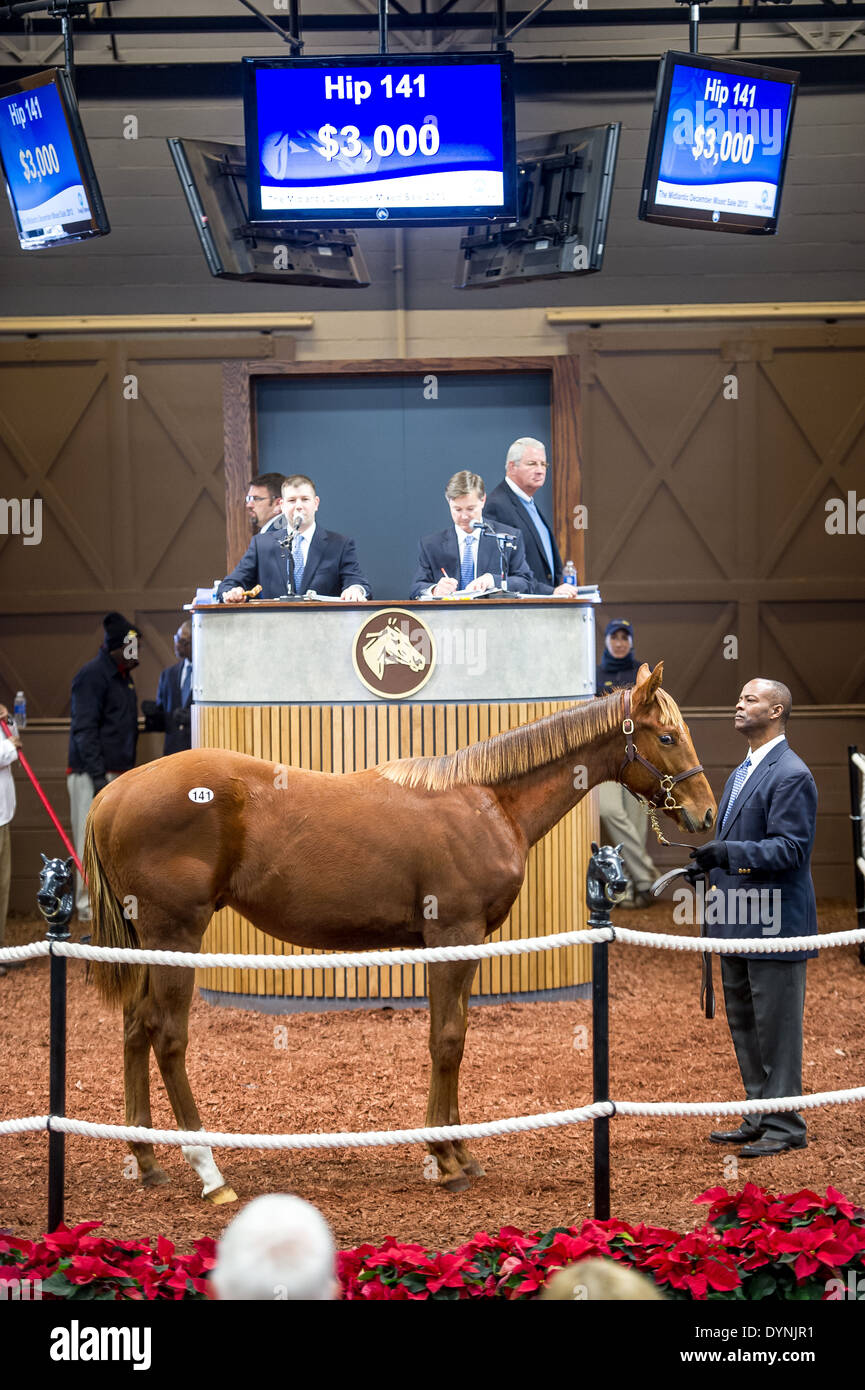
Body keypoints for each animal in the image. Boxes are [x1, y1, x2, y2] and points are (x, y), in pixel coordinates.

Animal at [84, 658, 717, 1195]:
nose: (706, 812)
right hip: (176, 938)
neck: (489, 801)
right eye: (666, 737)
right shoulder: (453, 935)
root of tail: (111, 794)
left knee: (135, 1028)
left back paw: (146, 1159)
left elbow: (455, 1034)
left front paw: (461, 1151)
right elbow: (446, 1040)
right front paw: (445, 1158)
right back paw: (209, 1170)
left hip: (148, 945)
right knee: (167, 1035)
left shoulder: (466, 943)